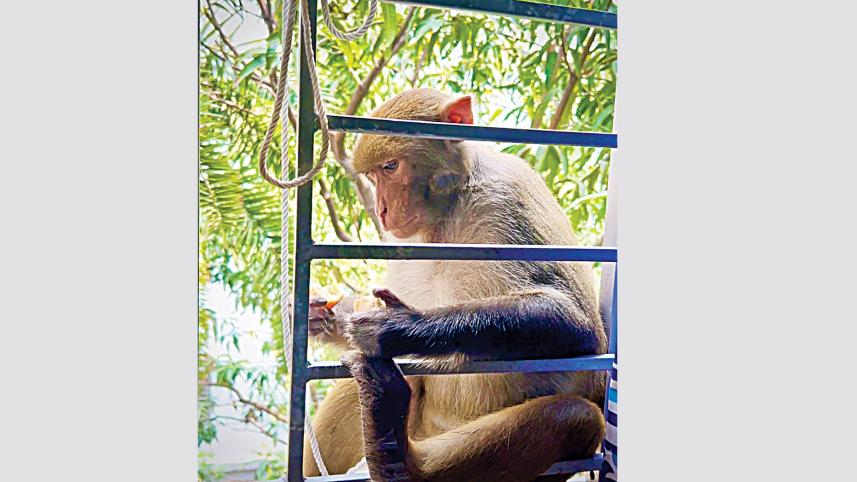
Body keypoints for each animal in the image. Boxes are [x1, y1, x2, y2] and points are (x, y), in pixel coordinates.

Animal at [304, 88, 607, 482]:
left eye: (391, 167)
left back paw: (399, 457)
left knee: (576, 416)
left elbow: (578, 324)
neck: (449, 211)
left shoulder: (508, 198)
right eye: (372, 175)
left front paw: (399, 327)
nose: (382, 211)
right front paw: (319, 315)